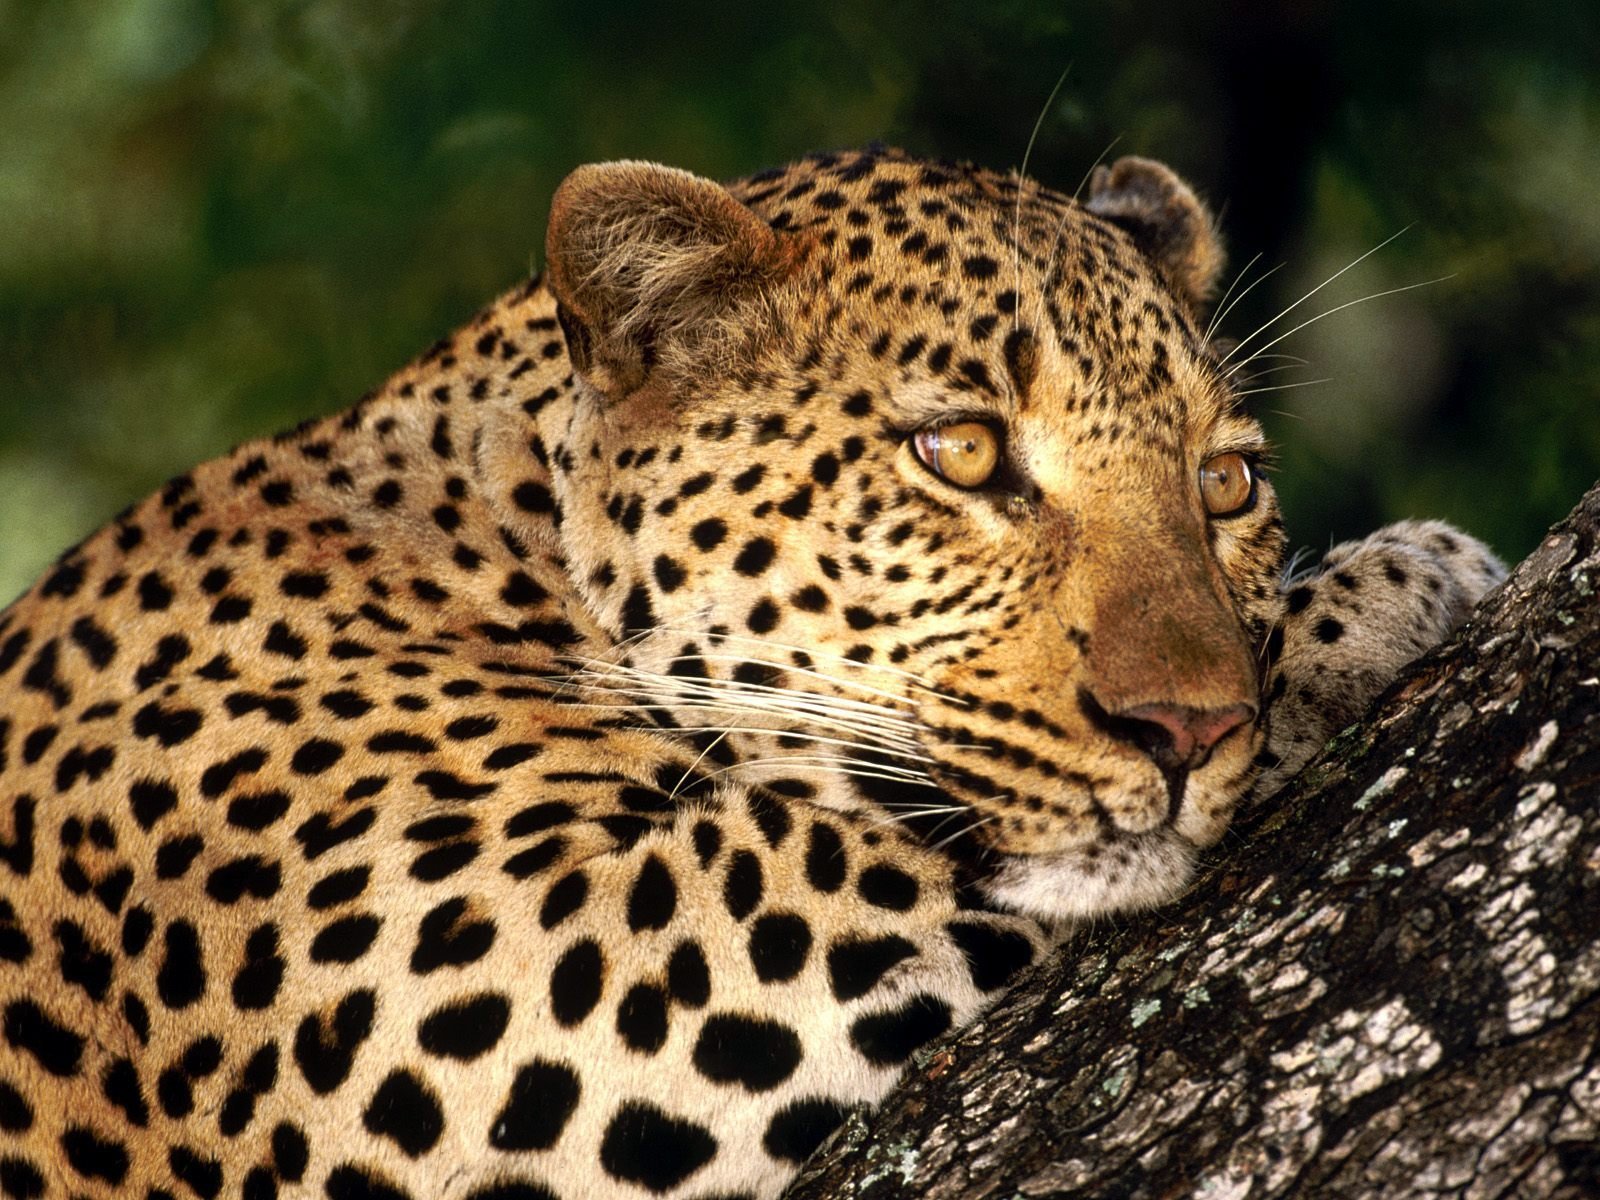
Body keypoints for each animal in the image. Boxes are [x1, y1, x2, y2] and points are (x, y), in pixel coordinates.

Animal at [0, 146, 1504, 1200]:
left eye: (1226, 483)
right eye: (961, 452)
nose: (1190, 729)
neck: (491, 532)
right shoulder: (515, 974)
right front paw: (1394, 585)